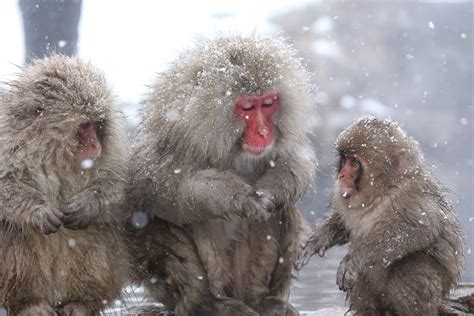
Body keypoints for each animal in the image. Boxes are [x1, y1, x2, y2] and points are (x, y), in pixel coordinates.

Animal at [0, 55, 131, 314]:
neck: (50, 154)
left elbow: (125, 185)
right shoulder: (6, 143)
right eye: (84, 126)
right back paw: (28, 303)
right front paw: (39, 210)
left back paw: (81, 303)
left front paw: (88, 204)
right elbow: (4, 185)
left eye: (98, 125)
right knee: (11, 234)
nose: (95, 145)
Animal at [128, 35, 316, 316]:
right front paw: (235, 196)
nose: (263, 132)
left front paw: (273, 188)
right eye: (247, 107)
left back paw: (263, 300)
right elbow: (151, 187)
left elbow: (297, 159)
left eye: (268, 103)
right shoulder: (173, 136)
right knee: (161, 228)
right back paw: (207, 303)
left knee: (283, 212)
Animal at [298, 117, 464, 314]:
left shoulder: (412, 197)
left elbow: (419, 229)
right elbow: (341, 222)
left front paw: (354, 258)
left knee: (411, 266)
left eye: (354, 163)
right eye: (344, 159)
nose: (342, 175)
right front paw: (317, 241)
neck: (383, 190)